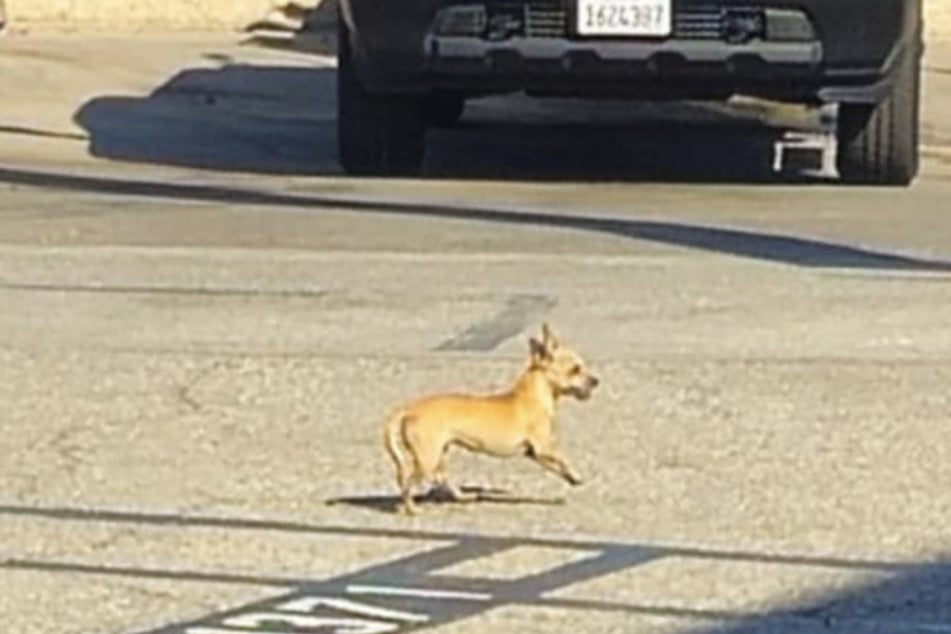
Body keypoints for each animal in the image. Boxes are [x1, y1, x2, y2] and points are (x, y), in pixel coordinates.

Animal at [382, 324, 600, 512]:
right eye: (575, 369)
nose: (596, 381)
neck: (533, 396)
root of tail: (409, 408)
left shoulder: (535, 453)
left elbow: (558, 466)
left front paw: (572, 478)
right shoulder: (543, 448)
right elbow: (563, 458)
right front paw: (575, 474)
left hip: (438, 453)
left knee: (440, 477)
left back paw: (462, 497)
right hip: (427, 458)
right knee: (407, 481)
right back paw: (410, 508)